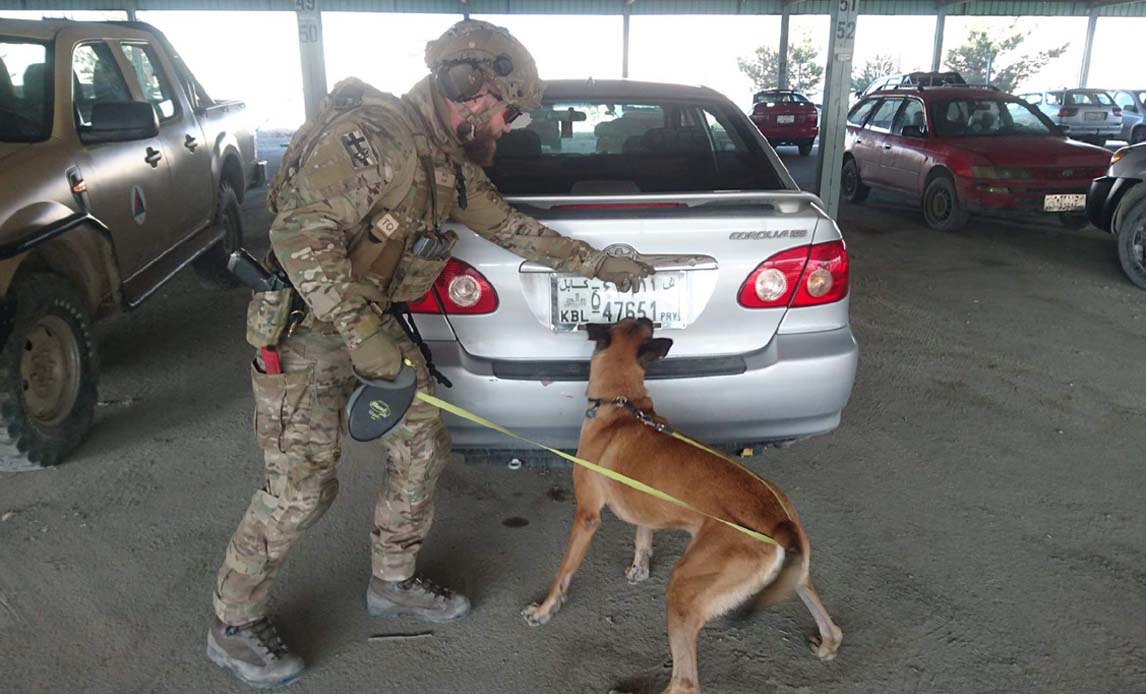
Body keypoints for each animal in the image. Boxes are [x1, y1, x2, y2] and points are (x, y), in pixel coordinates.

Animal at [522, 320, 843, 694]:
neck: (623, 405)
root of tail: (778, 522)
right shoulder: (644, 507)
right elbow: (643, 537)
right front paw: (639, 568)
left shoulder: (586, 516)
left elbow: (564, 571)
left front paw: (545, 609)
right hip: (797, 569)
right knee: (826, 617)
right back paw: (827, 641)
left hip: (684, 588)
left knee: (686, 681)